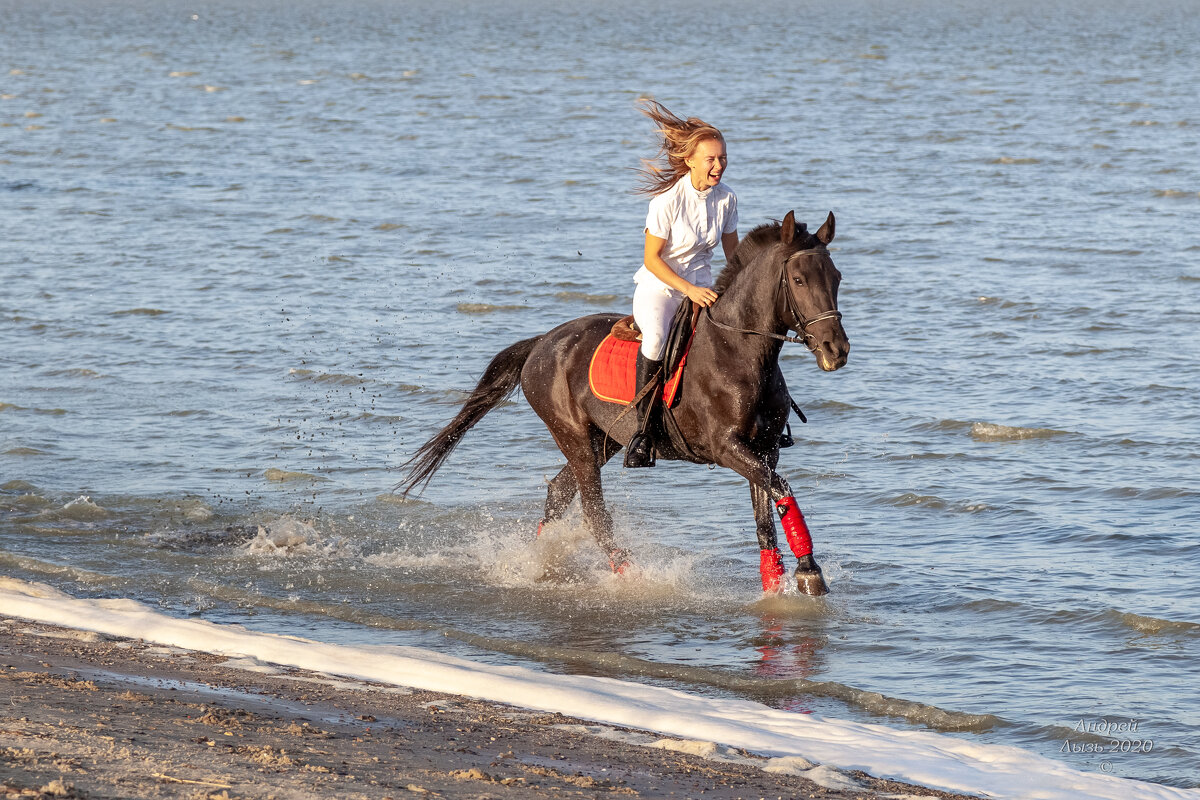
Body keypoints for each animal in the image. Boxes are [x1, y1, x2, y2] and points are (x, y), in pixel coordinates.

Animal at [398, 211, 849, 594]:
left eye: (837, 277)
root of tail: (542, 344)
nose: (837, 350)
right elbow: (781, 492)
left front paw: (780, 586)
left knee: (559, 493)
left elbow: (767, 514)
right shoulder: (727, 448)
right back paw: (629, 576)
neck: (739, 351)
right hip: (574, 437)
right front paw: (810, 573)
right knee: (593, 512)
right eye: (799, 280)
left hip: (605, 440)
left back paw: (542, 562)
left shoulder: (764, 449)